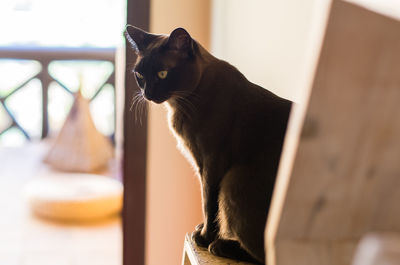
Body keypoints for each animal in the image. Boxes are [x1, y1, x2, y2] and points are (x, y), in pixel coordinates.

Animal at [124, 24, 290, 262]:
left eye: (162, 74)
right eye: (140, 75)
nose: (147, 94)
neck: (181, 103)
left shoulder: (211, 163)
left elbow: (208, 203)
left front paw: (203, 237)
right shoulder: (201, 164)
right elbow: (206, 204)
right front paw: (202, 230)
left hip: (233, 180)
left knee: (267, 255)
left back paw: (220, 246)